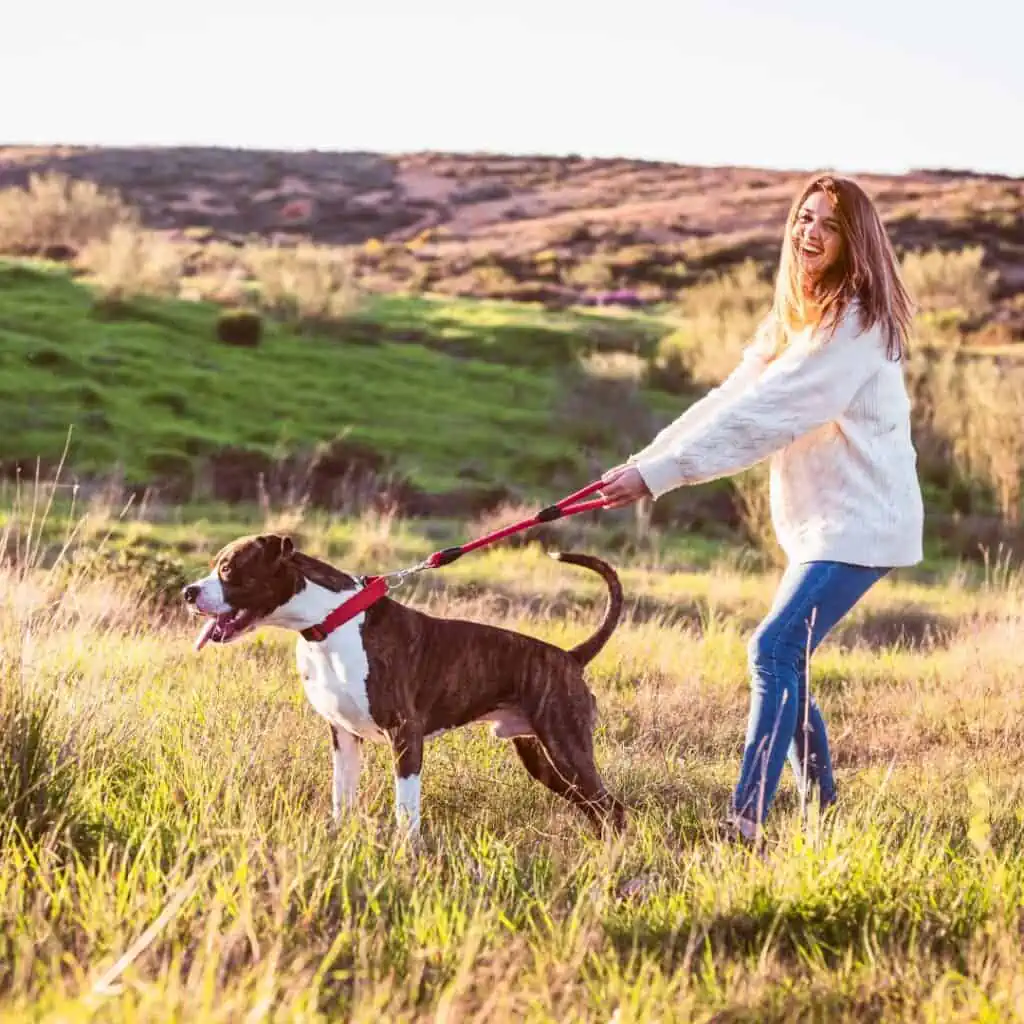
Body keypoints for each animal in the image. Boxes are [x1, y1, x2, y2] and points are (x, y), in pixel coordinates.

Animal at [186, 532, 630, 835]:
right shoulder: (343, 737)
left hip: (566, 747)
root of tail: (569, 657)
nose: (188, 591)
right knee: (596, 809)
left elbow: (406, 809)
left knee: (612, 808)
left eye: (228, 569)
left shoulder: (405, 734)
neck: (330, 621)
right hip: (543, 758)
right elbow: (341, 798)